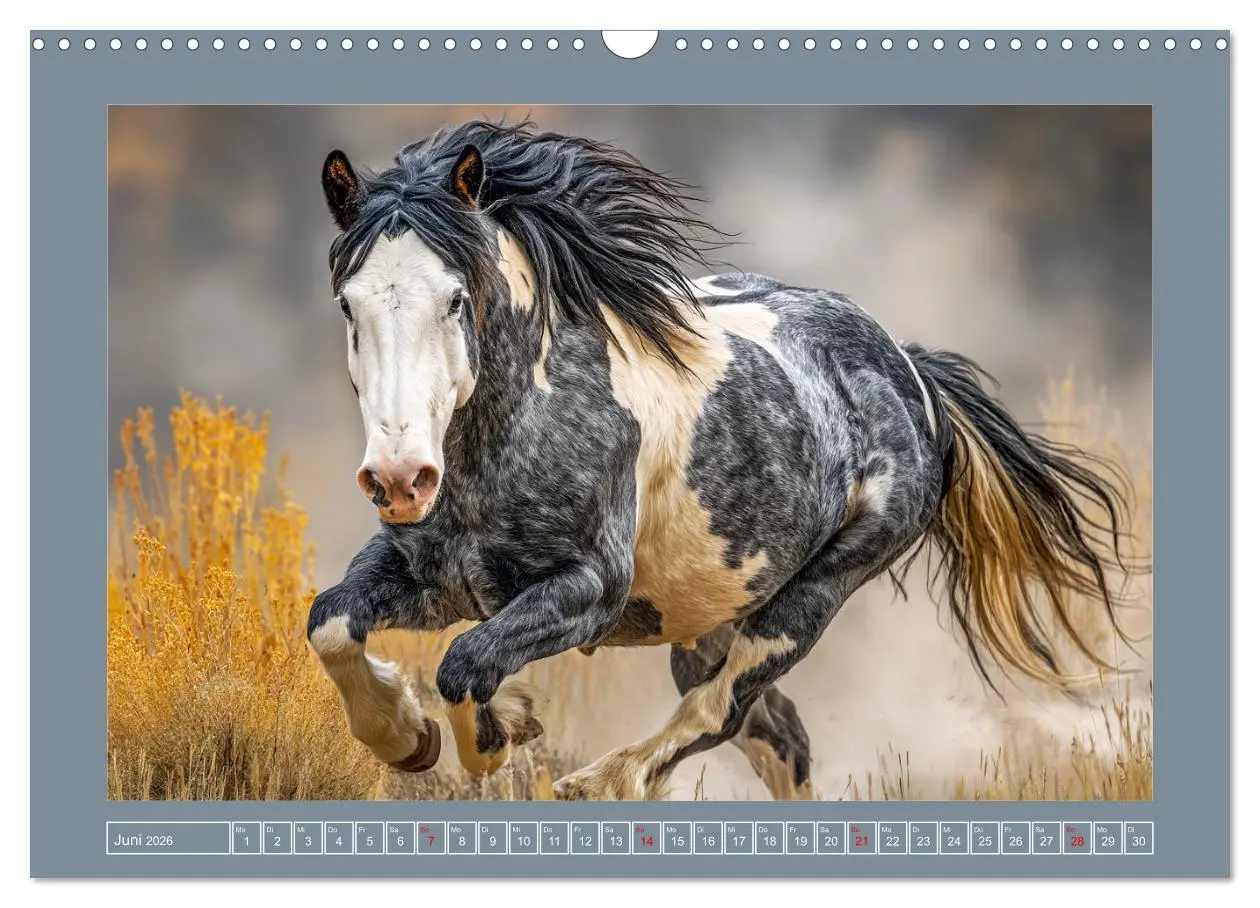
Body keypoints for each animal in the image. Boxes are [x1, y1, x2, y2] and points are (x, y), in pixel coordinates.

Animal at [305, 120, 1132, 800]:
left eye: (454, 298)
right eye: (348, 303)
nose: (400, 479)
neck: (514, 434)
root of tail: (910, 370)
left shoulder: (589, 589)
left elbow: (465, 665)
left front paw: (496, 734)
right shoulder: (431, 576)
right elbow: (332, 622)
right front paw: (404, 737)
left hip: (811, 599)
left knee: (720, 711)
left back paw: (603, 782)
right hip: (709, 620)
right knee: (777, 736)